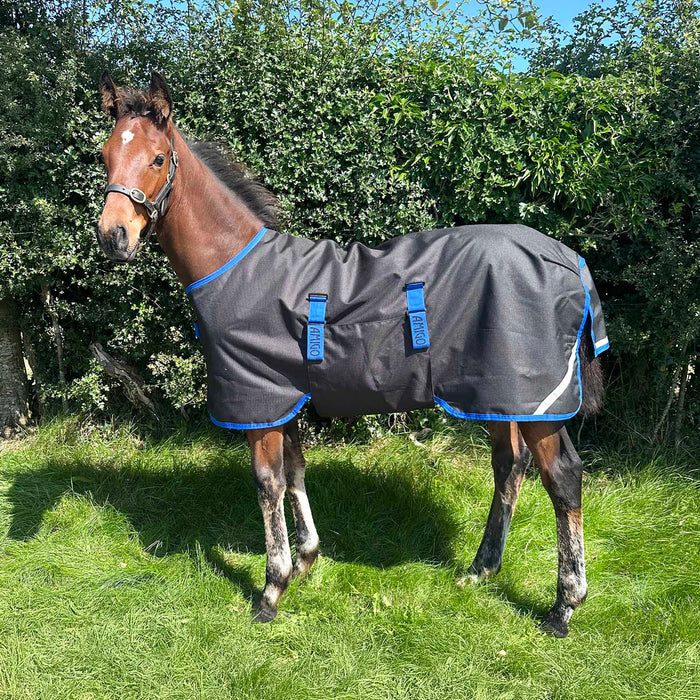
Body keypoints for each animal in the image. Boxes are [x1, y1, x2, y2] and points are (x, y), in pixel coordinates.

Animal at [96, 70, 608, 637]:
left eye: (157, 158)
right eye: (104, 155)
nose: (113, 236)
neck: (237, 267)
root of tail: (567, 258)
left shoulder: (260, 401)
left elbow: (268, 483)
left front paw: (271, 589)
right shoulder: (286, 399)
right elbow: (296, 471)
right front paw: (305, 560)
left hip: (539, 402)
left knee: (562, 479)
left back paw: (564, 605)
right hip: (495, 396)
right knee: (509, 466)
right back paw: (481, 570)